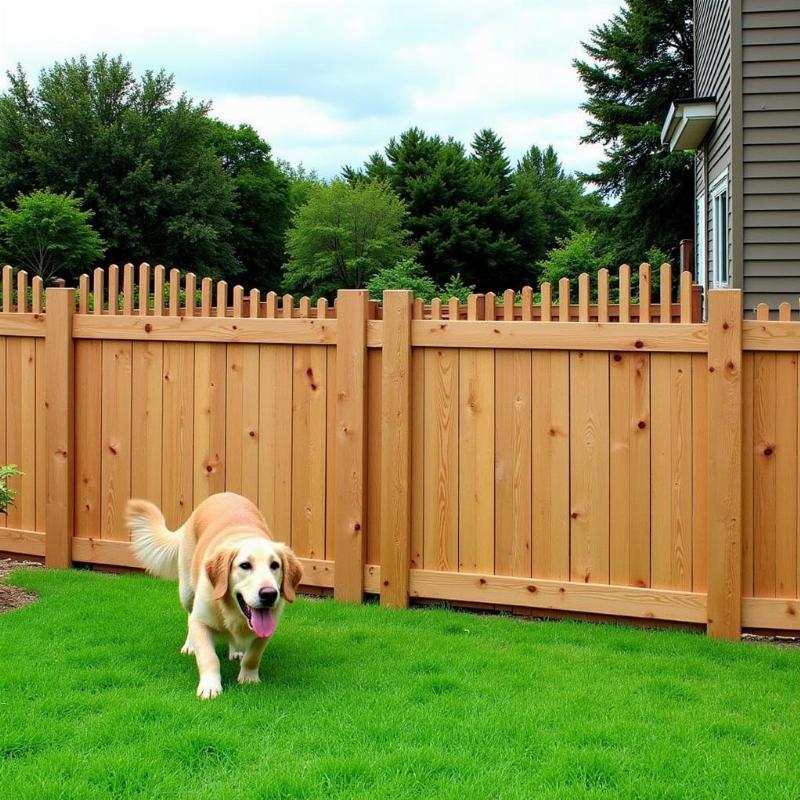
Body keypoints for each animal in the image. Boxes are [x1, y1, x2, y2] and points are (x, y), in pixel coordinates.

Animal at [128, 490, 304, 696]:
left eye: (275, 565)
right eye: (245, 565)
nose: (269, 594)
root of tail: (223, 493)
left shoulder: (268, 628)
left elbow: (253, 656)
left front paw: (248, 677)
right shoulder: (201, 621)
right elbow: (208, 657)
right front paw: (210, 686)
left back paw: (236, 650)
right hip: (187, 592)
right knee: (189, 616)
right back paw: (190, 645)